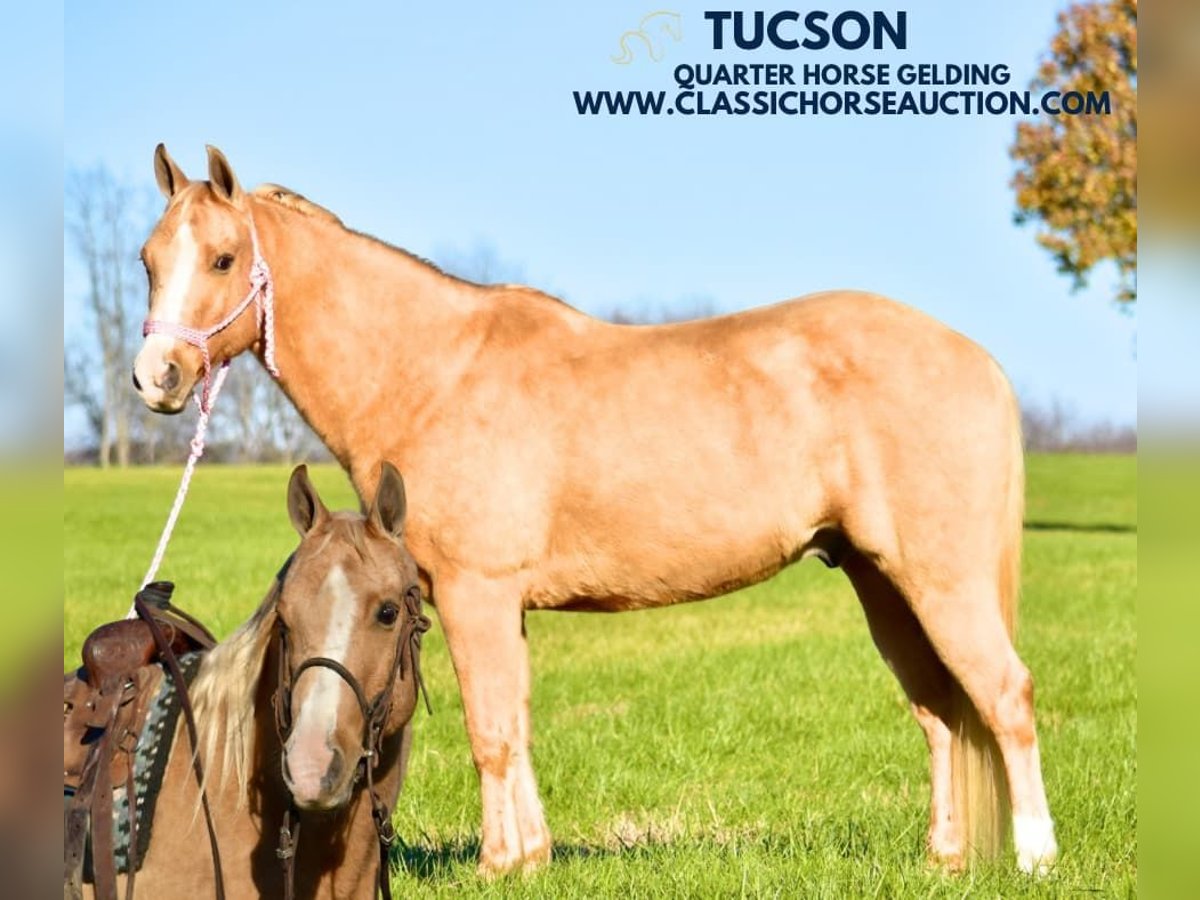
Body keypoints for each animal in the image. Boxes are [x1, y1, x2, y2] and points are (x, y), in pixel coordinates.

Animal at [133, 144, 1060, 878]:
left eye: (223, 259)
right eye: (148, 258)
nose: (156, 378)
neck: (434, 371)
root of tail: (977, 359)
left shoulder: (475, 593)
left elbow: (490, 731)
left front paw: (498, 865)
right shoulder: (499, 606)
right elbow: (516, 726)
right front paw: (531, 857)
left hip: (940, 580)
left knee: (1004, 695)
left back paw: (1035, 857)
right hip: (883, 582)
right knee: (941, 711)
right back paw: (943, 860)